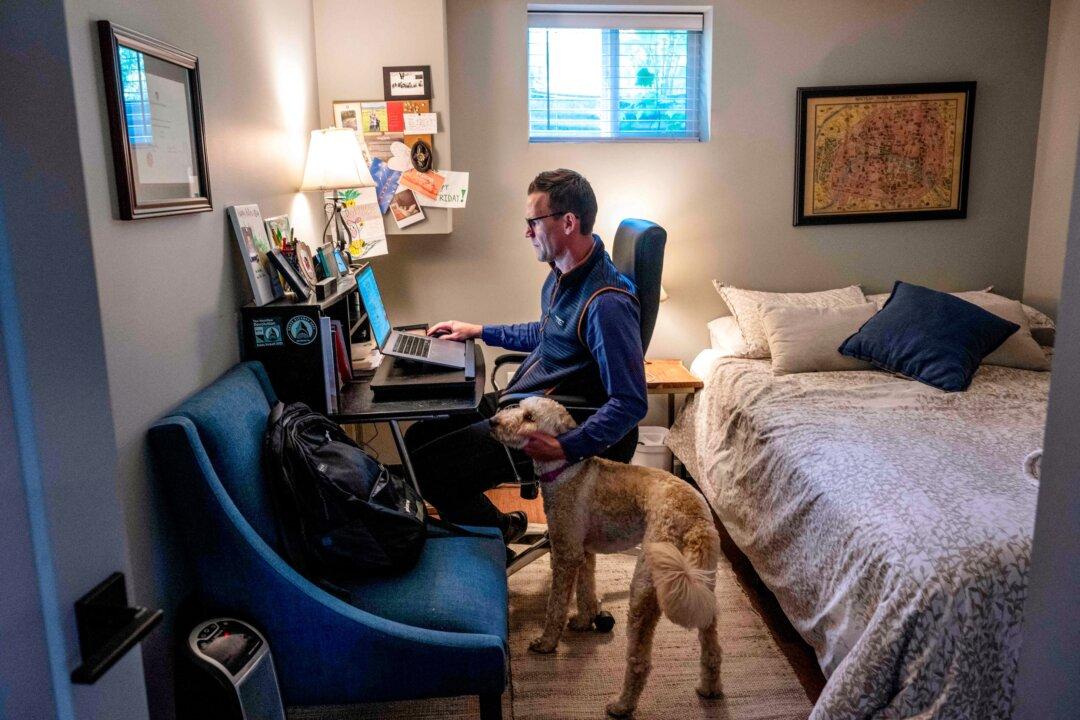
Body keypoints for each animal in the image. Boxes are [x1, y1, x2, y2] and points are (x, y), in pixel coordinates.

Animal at [492, 397, 725, 716]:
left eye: (529, 417)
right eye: (518, 407)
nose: (492, 422)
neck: (567, 470)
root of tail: (694, 519)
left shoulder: (565, 553)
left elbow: (556, 606)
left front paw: (547, 642)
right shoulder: (583, 551)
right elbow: (586, 590)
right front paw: (584, 621)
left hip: (644, 589)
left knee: (640, 662)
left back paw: (622, 705)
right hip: (704, 585)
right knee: (712, 646)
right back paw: (709, 689)